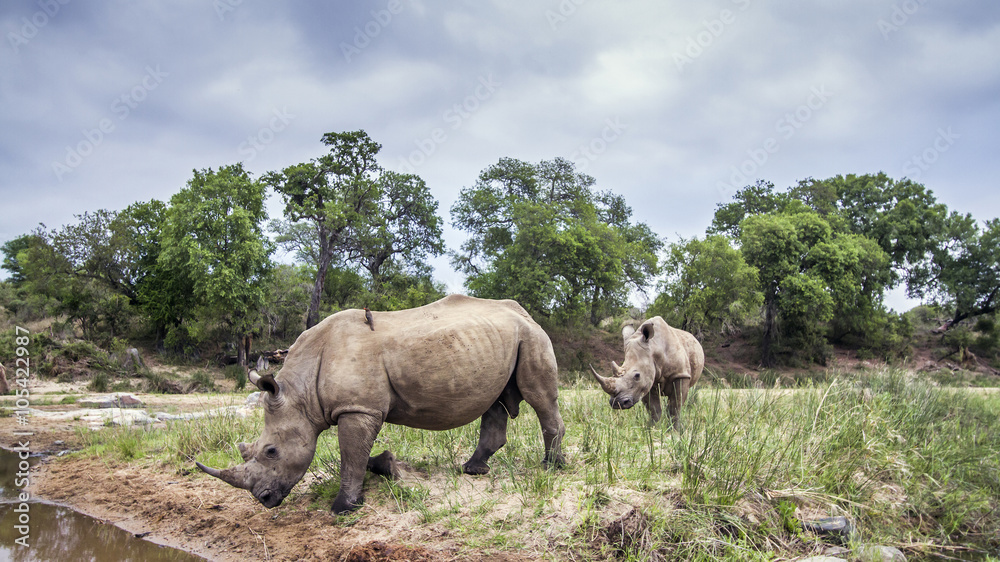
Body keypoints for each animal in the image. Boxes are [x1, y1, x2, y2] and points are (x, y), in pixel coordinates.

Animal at [196, 295, 566, 514]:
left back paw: (552, 467)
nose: (264, 500)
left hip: (532, 338)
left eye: (271, 451)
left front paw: (342, 508)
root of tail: (527, 314)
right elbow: (360, 456)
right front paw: (386, 464)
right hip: (500, 341)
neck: (300, 393)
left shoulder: (358, 408)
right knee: (496, 401)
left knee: (539, 397)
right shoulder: (360, 408)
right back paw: (473, 470)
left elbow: (350, 457)